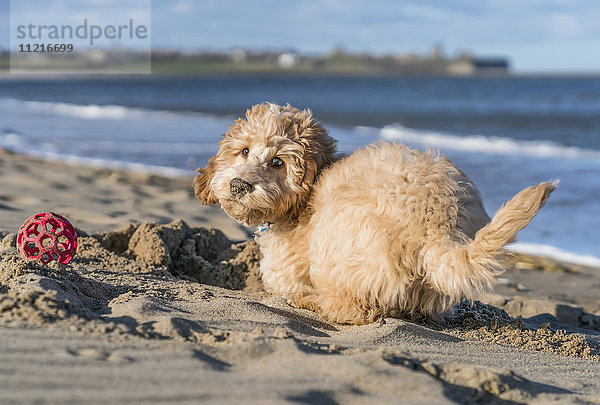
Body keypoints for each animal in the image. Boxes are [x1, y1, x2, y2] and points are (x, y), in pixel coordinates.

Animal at [195, 103, 556, 326]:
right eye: (243, 151)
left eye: (278, 162)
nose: (239, 184)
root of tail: (438, 225)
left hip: (336, 239)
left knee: (352, 309)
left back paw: (311, 301)